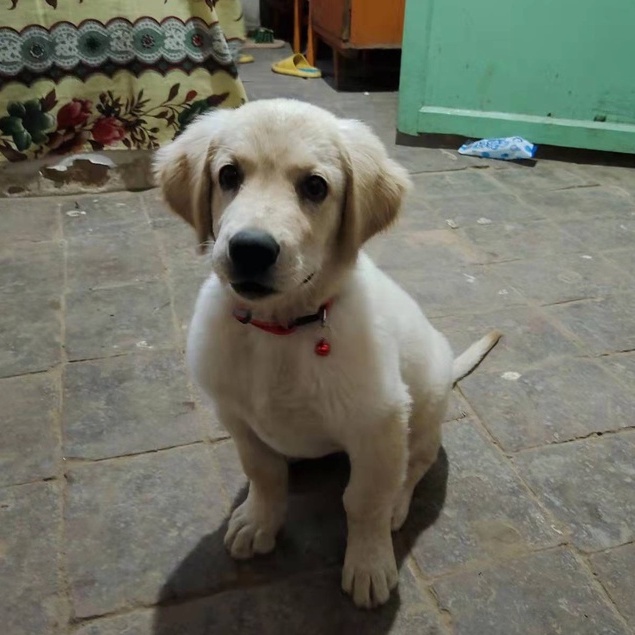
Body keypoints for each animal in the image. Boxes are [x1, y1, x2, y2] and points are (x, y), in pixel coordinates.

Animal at [155, 99, 502, 612]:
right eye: (228, 175)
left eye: (315, 186)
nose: (250, 249)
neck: (281, 331)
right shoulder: (236, 417)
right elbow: (263, 473)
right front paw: (258, 520)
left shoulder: (379, 424)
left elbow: (363, 501)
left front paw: (369, 562)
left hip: (424, 405)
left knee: (416, 463)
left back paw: (399, 501)